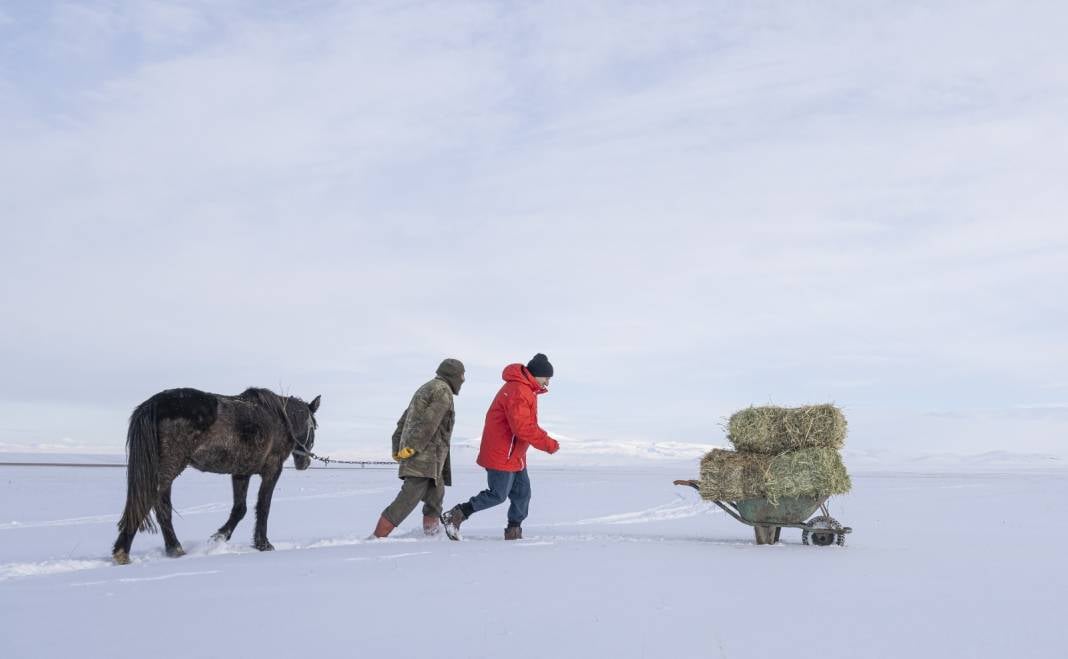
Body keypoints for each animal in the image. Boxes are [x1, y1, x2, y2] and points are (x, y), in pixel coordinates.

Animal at [114, 388, 320, 563]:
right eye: (314, 428)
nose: (305, 463)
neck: (280, 420)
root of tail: (152, 404)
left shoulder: (241, 473)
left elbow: (240, 509)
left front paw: (218, 538)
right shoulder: (272, 470)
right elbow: (263, 506)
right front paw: (264, 544)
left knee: (159, 509)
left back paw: (167, 550)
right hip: (168, 470)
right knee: (150, 505)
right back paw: (129, 552)